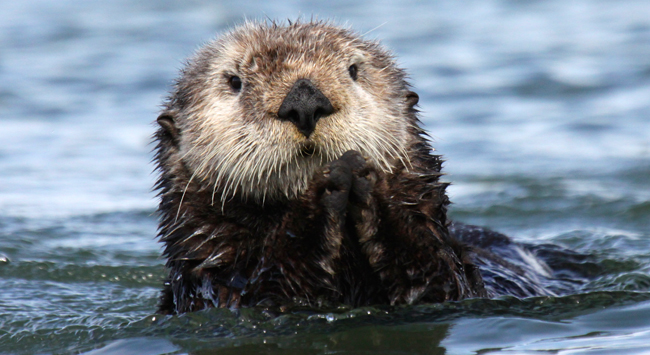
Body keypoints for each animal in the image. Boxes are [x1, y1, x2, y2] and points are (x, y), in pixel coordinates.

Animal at [152, 20, 552, 314]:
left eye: (354, 69)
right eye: (234, 81)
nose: (305, 101)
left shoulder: (458, 281)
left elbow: (439, 280)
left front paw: (371, 182)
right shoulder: (212, 282)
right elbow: (268, 297)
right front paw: (324, 187)